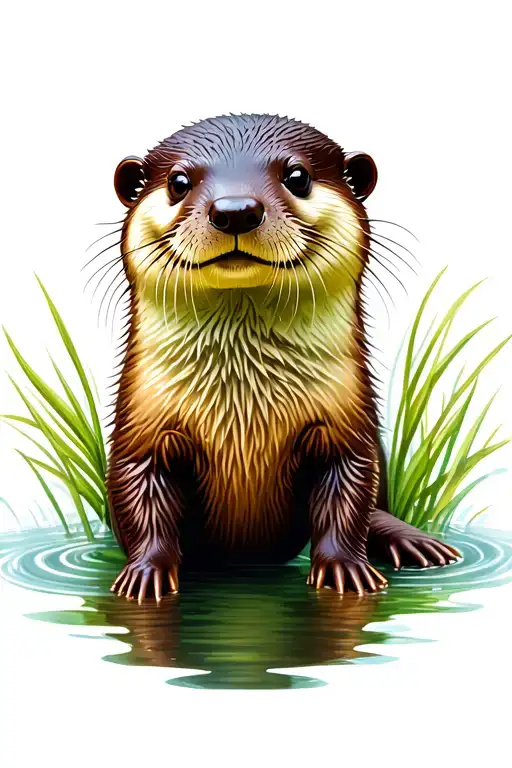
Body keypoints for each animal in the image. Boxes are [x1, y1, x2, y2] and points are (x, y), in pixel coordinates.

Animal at [108, 114, 460, 603]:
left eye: (297, 177)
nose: (236, 209)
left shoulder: (347, 428)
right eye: (178, 182)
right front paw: (147, 573)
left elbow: (349, 496)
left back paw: (415, 542)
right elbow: (138, 498)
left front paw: (345, 569)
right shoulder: (142, 431)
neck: (244, 414)